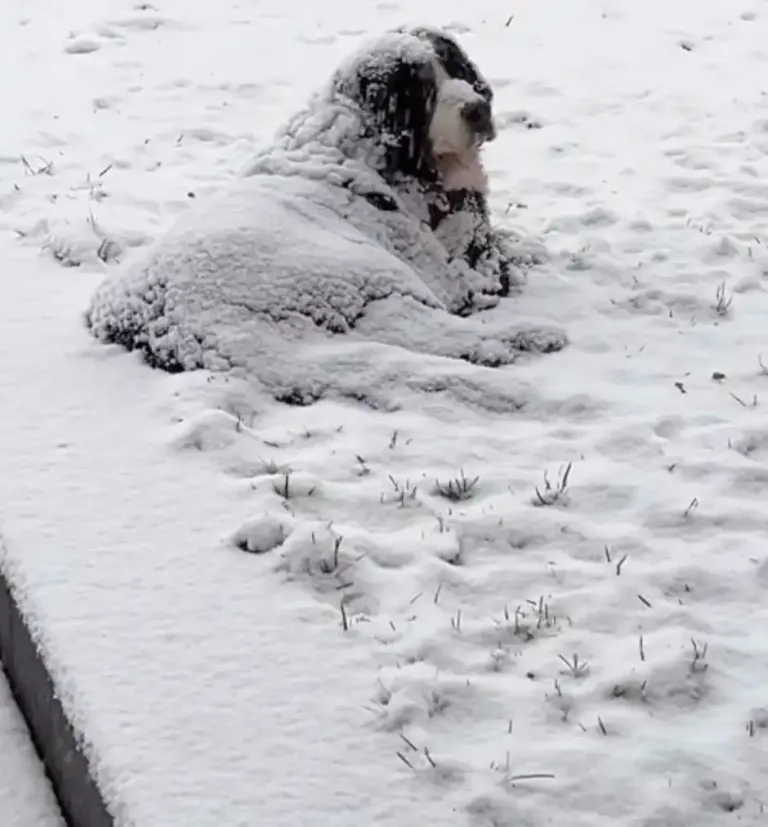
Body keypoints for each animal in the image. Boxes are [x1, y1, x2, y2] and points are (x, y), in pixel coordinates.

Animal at [87, 27, 568, 410]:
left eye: (456, 70)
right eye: (426, 91)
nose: (478, 108)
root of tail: (185, 317)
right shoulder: (458, 269)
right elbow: (494, 263)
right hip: (367, 270)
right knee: (430, 329)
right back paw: (518, 339)